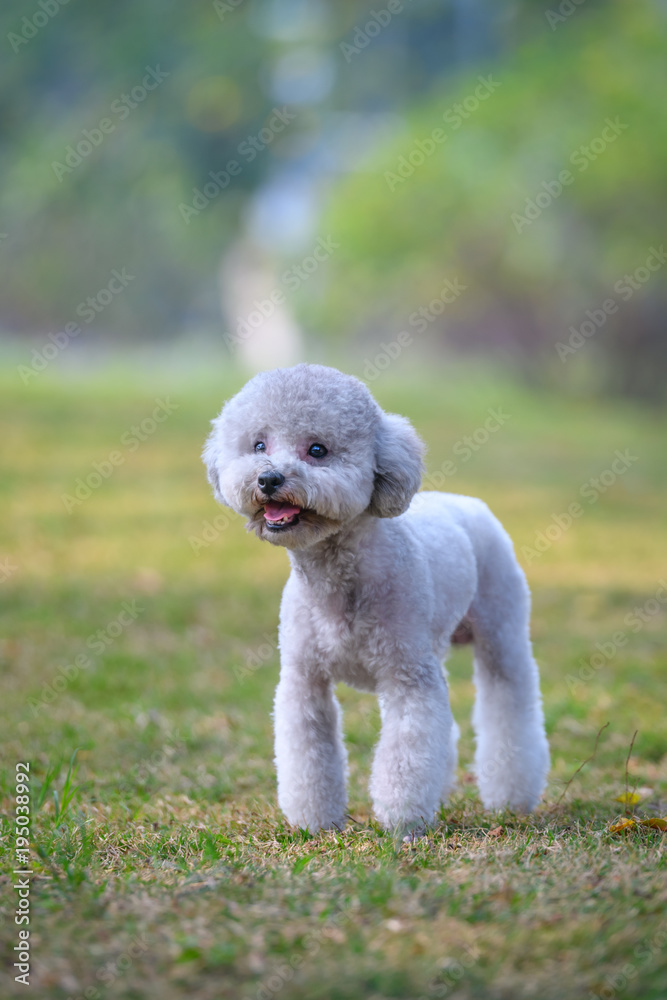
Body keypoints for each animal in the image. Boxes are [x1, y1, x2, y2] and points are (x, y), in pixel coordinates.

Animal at [206, 364, 552, 832]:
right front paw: (315, 822)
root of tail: (467, 502)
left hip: (502, 629)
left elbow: (407, 752)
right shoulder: (304, 679)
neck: (338, 578)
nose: (268, 478)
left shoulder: (408, 678)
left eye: (318, 449)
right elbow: (308, 753)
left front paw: (402, 821)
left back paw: (511, 798)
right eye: (258, 445)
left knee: (510, 701)